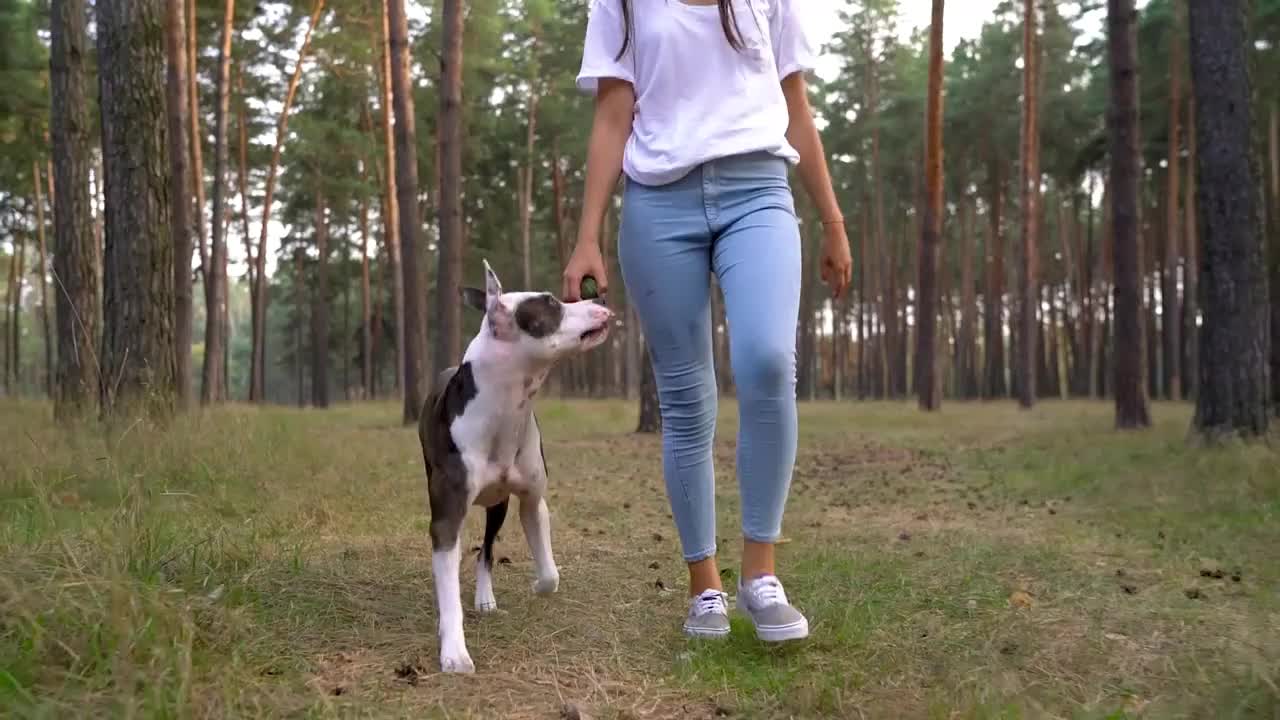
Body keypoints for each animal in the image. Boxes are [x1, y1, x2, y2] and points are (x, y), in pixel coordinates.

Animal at [419, 258, 614, 671]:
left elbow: (550, 572)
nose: (602, 298)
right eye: (552, 302)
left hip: (498, 506)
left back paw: (485, 598)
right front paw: (453, 650)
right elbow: (448, 589)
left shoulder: (531, 501)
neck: (505, 411)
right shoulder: (446, 519)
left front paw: (538, 585)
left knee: (487, 552)